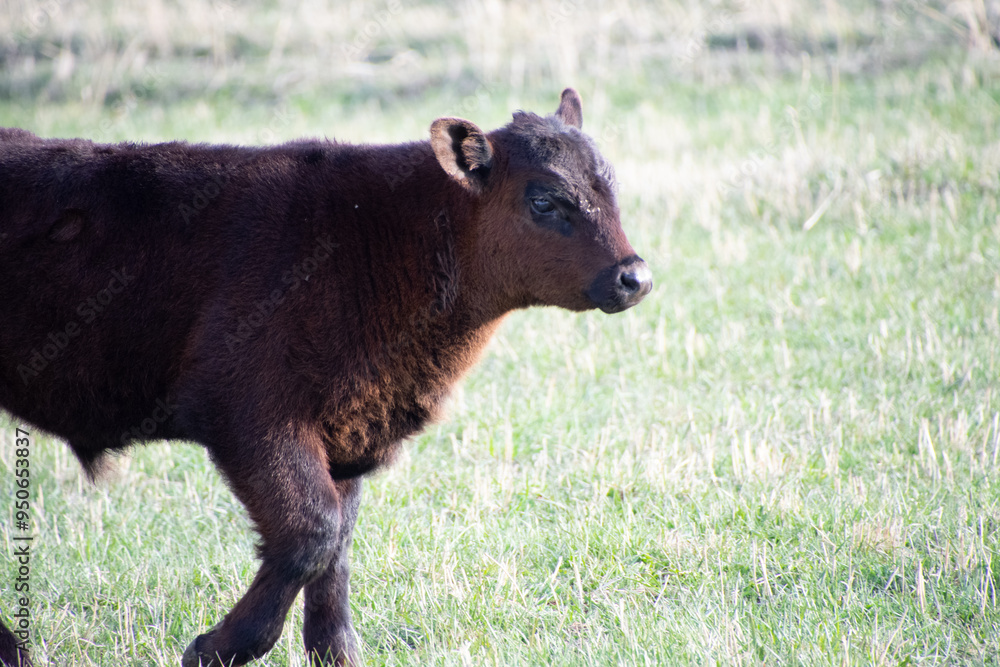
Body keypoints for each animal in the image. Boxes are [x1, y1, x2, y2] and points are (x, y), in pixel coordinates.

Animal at [0, 88, 651, 666]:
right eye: (544, 201)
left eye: (611, 185)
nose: (635, 277)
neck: (377, 238)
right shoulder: (253, 420)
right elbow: (311, 533)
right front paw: (215, 649)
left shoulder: (349, 434)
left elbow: (335, 549)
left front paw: (335, 653)